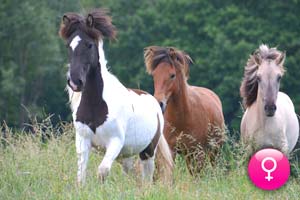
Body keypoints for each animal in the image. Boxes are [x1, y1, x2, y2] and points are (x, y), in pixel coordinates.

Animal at [58, 9, 172, 184]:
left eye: (89, 45)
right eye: (68, 46)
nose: (75, 82)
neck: (96, 106)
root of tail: (154, 102)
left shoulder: (115, 142)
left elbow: (102, 171)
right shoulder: (82, 141)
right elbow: (81, 176)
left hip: (148, 152)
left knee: (147, 179)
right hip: (126, 156)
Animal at [145, 45, 225, 173]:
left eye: (172, 75)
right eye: (154, 75)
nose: (159, 103)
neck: (182, 118)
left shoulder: (197, 152)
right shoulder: (171, 150)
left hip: (214, 150)